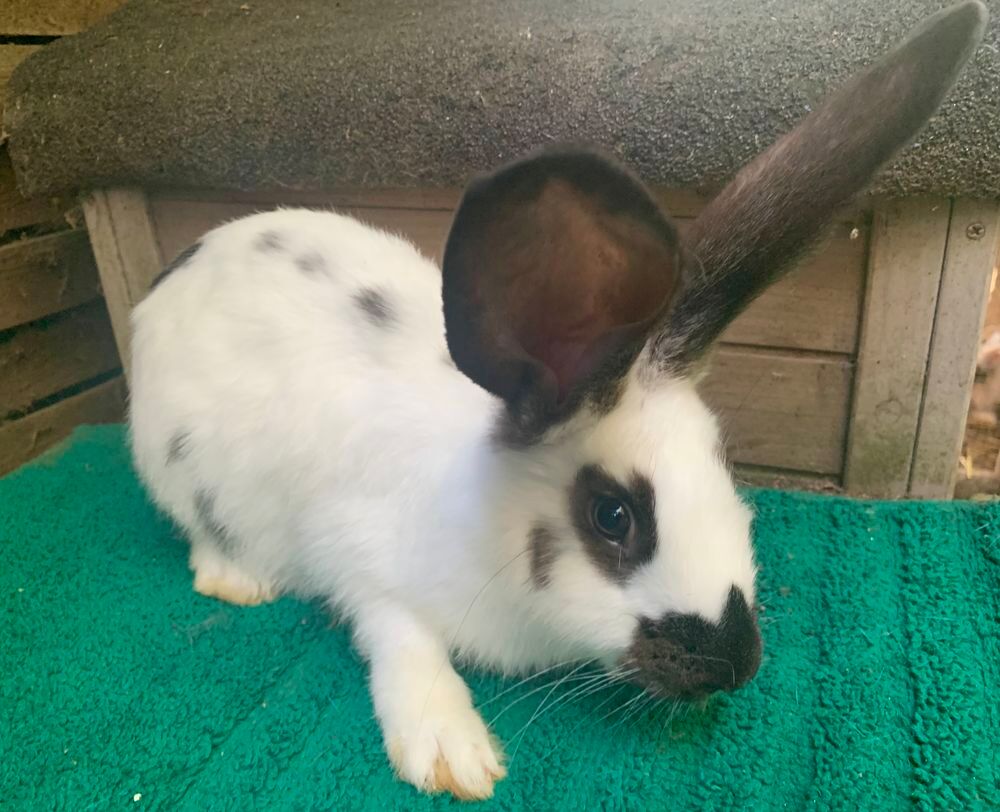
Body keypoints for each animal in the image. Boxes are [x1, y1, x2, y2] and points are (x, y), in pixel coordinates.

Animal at [128, 2, 986, 800]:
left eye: (724, 466)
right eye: (612, 517)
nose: (734, 666)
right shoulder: (361, 562)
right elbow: (400, 638)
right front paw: (452, 753)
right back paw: (237, 580)